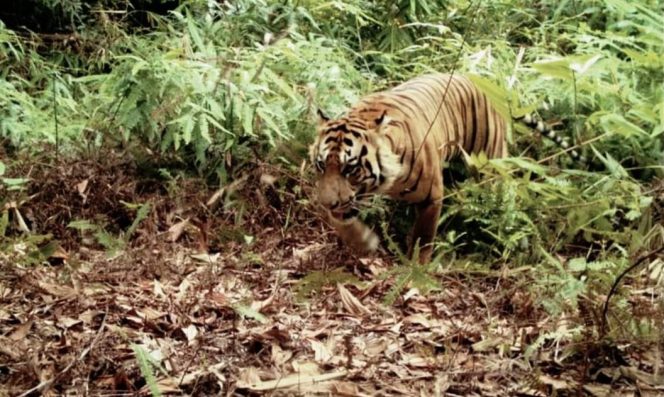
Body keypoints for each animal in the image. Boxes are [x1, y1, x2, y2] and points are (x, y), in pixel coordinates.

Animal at [308, 72, 580, 262]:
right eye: (321, 165)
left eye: (350, 169)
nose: (325, 203)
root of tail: (485, 84)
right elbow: (343, 220)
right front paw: (362, 241)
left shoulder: (432, 196)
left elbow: (424, 235)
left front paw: (416, 267)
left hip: (489, 166)